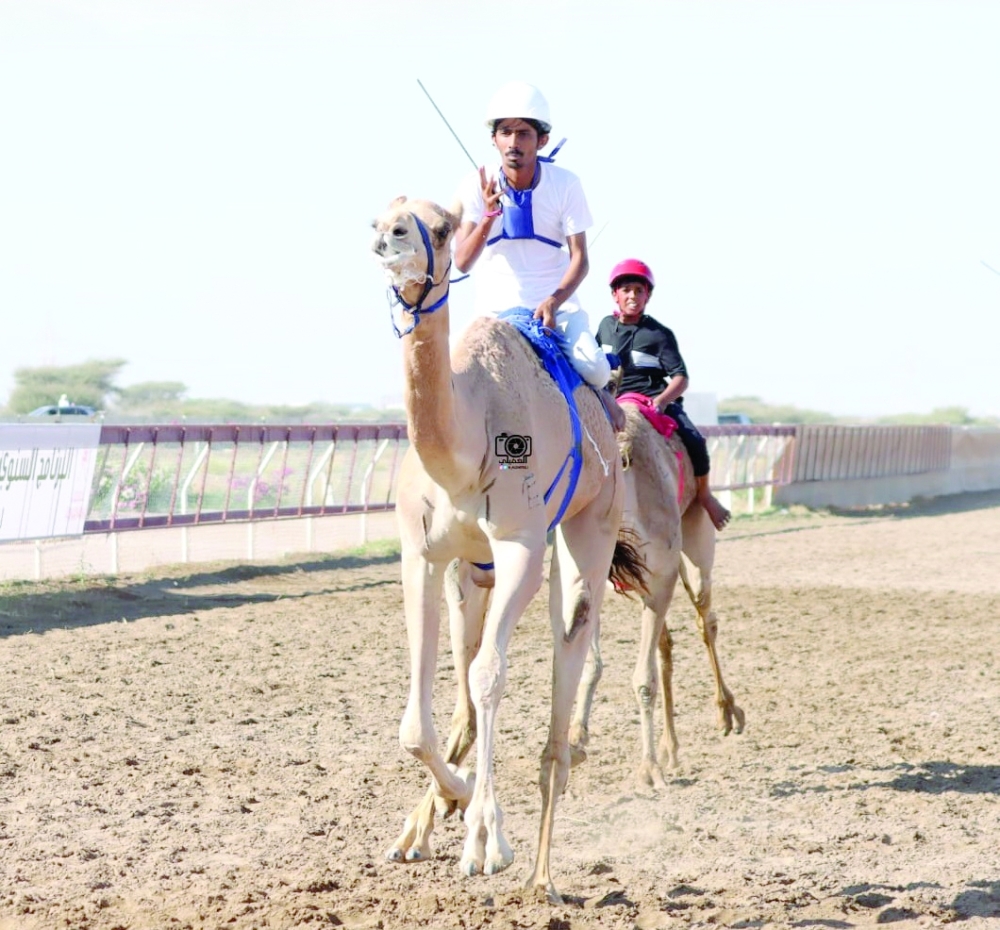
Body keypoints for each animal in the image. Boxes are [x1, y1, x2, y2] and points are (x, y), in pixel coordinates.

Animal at [370, 196, 645, 903]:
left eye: (440, 227)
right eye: (379, 217)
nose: (392, 238)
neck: (466, 446)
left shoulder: (521, 544)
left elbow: (491, 676)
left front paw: (487, 840)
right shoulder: (421, 555)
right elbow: (418, 715)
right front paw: (455, 800)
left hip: (590, 525)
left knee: (572, 639)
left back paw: (544, 869)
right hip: (473, 571)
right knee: (466, 683)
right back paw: (425, 823)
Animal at [570, 401, 745, 788]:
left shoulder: (660, 581)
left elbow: (643, 678)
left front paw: (649, 768)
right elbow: (592, 664)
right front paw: (575, 739)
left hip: (694, 544)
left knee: (705, 620)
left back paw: (727, 713)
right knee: (667, 644)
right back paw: (671, 748)